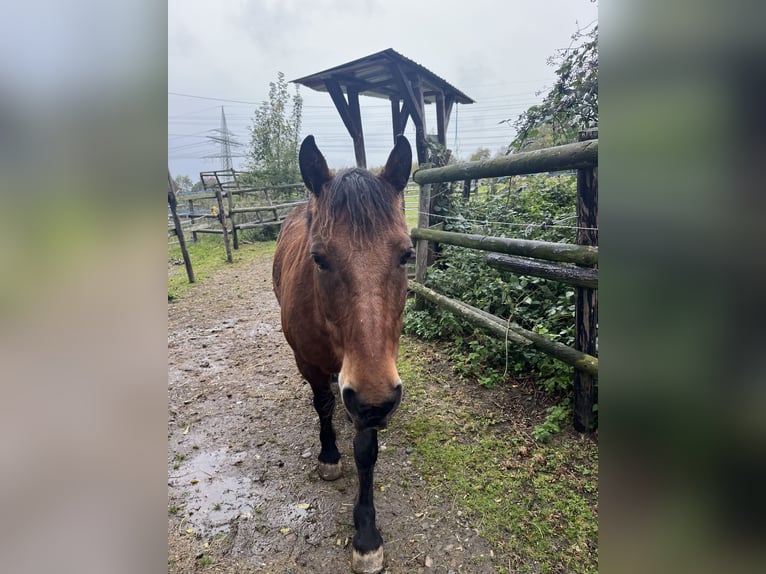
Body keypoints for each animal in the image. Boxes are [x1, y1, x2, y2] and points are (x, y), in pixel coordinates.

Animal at [272, 135, 413, 574]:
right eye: (319, 258)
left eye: (406, 254)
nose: (375, 403)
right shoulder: (312, 364)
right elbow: (322, 405)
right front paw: (330, 455)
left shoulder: (373, 381)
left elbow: (366, 451)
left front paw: (366, 535)